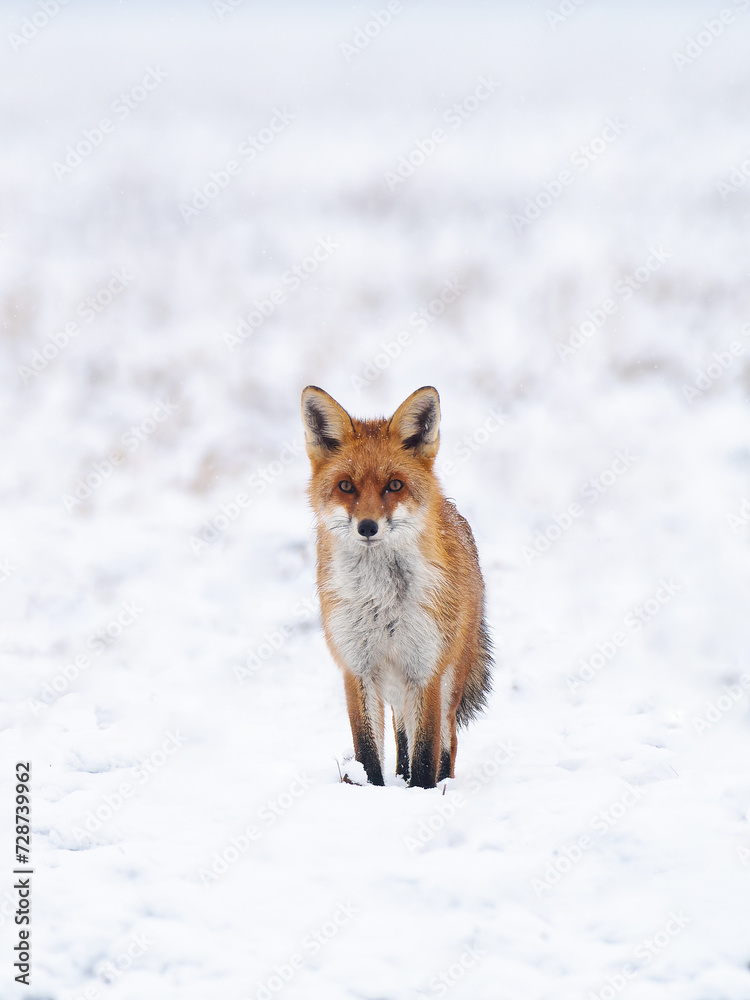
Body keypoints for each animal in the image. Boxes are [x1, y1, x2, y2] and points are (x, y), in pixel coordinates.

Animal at [301, 385, 493, 789]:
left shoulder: (425, 669)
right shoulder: (357, 667)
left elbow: (426, 752)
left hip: (448, 680)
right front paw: (375, 790)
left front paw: (420, 792)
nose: (368, 527)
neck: (381, 600)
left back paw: (442, 783)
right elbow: (368, 750)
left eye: (394, 485)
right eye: (346, 486)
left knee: (448, 740)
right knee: (401, 733)